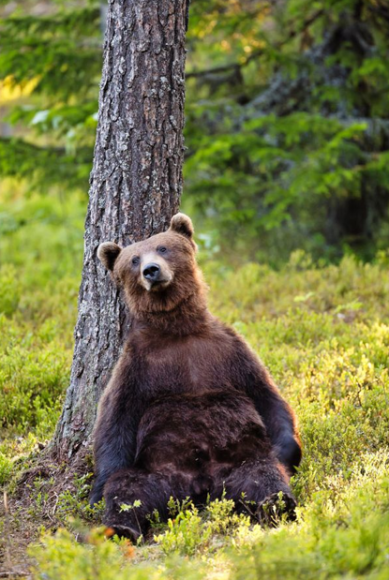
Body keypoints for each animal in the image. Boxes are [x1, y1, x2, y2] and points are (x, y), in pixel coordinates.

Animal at [91, 213, 300, 540]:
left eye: (163, 248)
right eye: (134, 259)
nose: (151, 270)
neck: (178, 329)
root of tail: (201, 487)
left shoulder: (228, 350)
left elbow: (267, 395)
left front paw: (288, 450)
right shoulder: (138, 365)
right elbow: (115, 419)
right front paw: (97, 490)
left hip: (240, 462)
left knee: (262, 474)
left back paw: (277, 503)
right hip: (157, 471)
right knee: (129, 487)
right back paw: (121, 526)